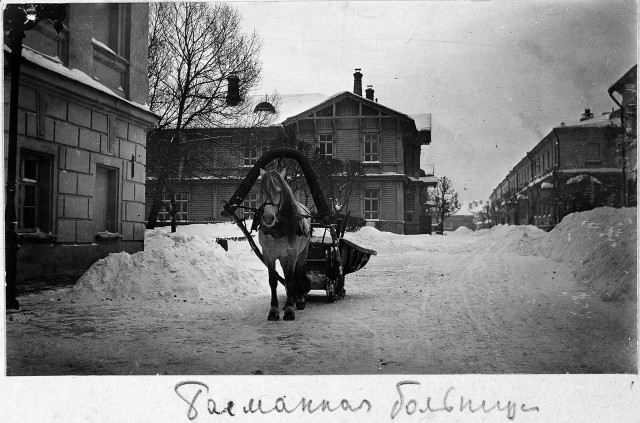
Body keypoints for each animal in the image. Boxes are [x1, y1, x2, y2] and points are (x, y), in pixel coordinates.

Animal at [258, 169, 312, 322]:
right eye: (261, 190)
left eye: (279, 191)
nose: (268, 218)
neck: (277, 230)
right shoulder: (268, 255)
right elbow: (273, 281)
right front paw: (274, 310)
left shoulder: (292, 255)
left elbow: (290, 279)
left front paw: (289, 310)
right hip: (283, 258)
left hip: (302, 253)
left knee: (297, 273)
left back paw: (299, 300)